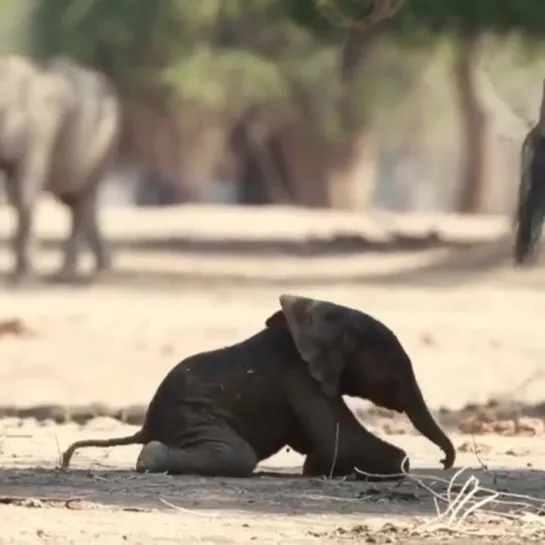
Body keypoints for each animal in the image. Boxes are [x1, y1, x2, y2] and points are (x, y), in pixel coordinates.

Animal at [0, 54, 120, 284]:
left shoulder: (40, 131)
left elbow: (23, 193)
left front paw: (24, 279)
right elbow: (14, 194)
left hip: (104, 144)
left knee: (81, 200)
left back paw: (69, 275)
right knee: (77, 202)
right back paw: (102, 269)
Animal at [60, 296, 454, 478]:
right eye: (396, 370)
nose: (443, 461)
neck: (332, 317)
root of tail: (146, 425)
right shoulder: (301, 376)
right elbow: (340, 439)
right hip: (193, 415)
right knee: (238, 455)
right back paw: (149, 459)